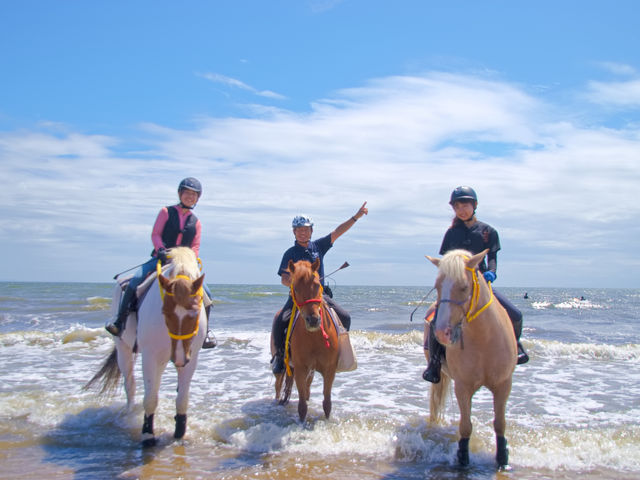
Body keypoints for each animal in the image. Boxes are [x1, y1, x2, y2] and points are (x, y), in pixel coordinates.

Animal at [85, 246, 207, 447]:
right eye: (165, 312)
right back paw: (129, 414)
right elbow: (150, 398)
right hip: (124, 349)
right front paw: (148, 435)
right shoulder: (150, 355)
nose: (179, 359)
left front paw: (179, 432)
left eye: (195, 312)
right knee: (130, 384)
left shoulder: (192, 357)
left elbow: (182, 398)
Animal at [273, 259, 340, 422]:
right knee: (278, 386)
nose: (313, 320)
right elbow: (302, 407)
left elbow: (327, 403)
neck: (314, 337)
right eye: (295, 288)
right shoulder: (300, 369)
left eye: (316, 284)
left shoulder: (329, 369)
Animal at [425, 249, 517, 468]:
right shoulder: (463, 386)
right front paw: (462, 458)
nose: (442, 333)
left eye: (464, 287)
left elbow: (500, 424)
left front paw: (502, 457)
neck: (483, 338)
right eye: (437, 287)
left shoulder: (503, 384)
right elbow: (465, 426)